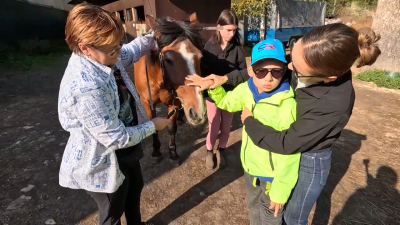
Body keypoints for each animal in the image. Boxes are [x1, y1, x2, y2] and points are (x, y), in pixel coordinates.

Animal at [134, 13, 206, 166]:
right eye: (168, 59)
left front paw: (173, 153)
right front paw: (156, 152)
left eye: (200, 56)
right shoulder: (146, 102)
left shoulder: (174, 101)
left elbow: (171, 128)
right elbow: (154, 126)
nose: (198, 112)